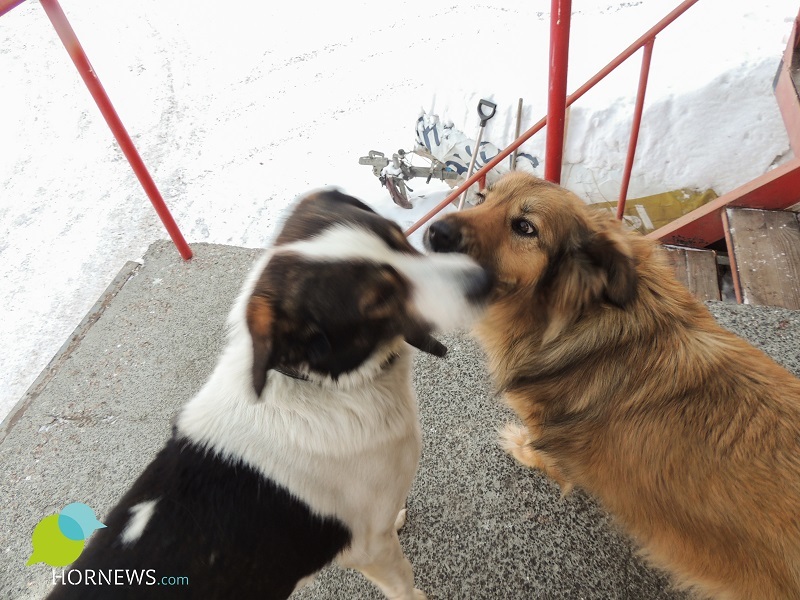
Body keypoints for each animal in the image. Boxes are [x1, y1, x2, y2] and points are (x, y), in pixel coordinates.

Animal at [51, 190, 488, 596]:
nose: (484, 281)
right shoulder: (371, 549)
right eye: (381, 298)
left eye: (400, 237)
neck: (325, 385)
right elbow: (404, 585)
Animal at [424, 171, 800, 596]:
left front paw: (521, 446)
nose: (434, 231)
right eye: (482, 198)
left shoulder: (545, 427)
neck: (582, 318)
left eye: (524, 227)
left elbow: (545, 454)